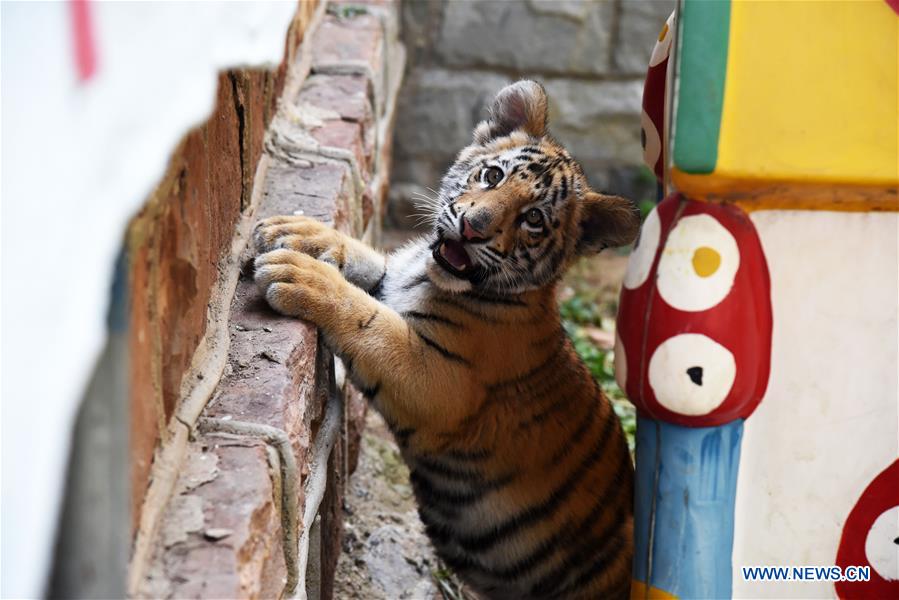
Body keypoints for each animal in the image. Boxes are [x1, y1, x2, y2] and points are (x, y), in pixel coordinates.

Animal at [253, 80, 640, 599]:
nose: (474, 226)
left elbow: (369, 319)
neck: (431, 275)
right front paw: (297, 232)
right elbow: (366, 258)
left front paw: (300, 274)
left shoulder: (440, 382)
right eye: (493, 174)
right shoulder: (394, 276)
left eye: (534, 219)